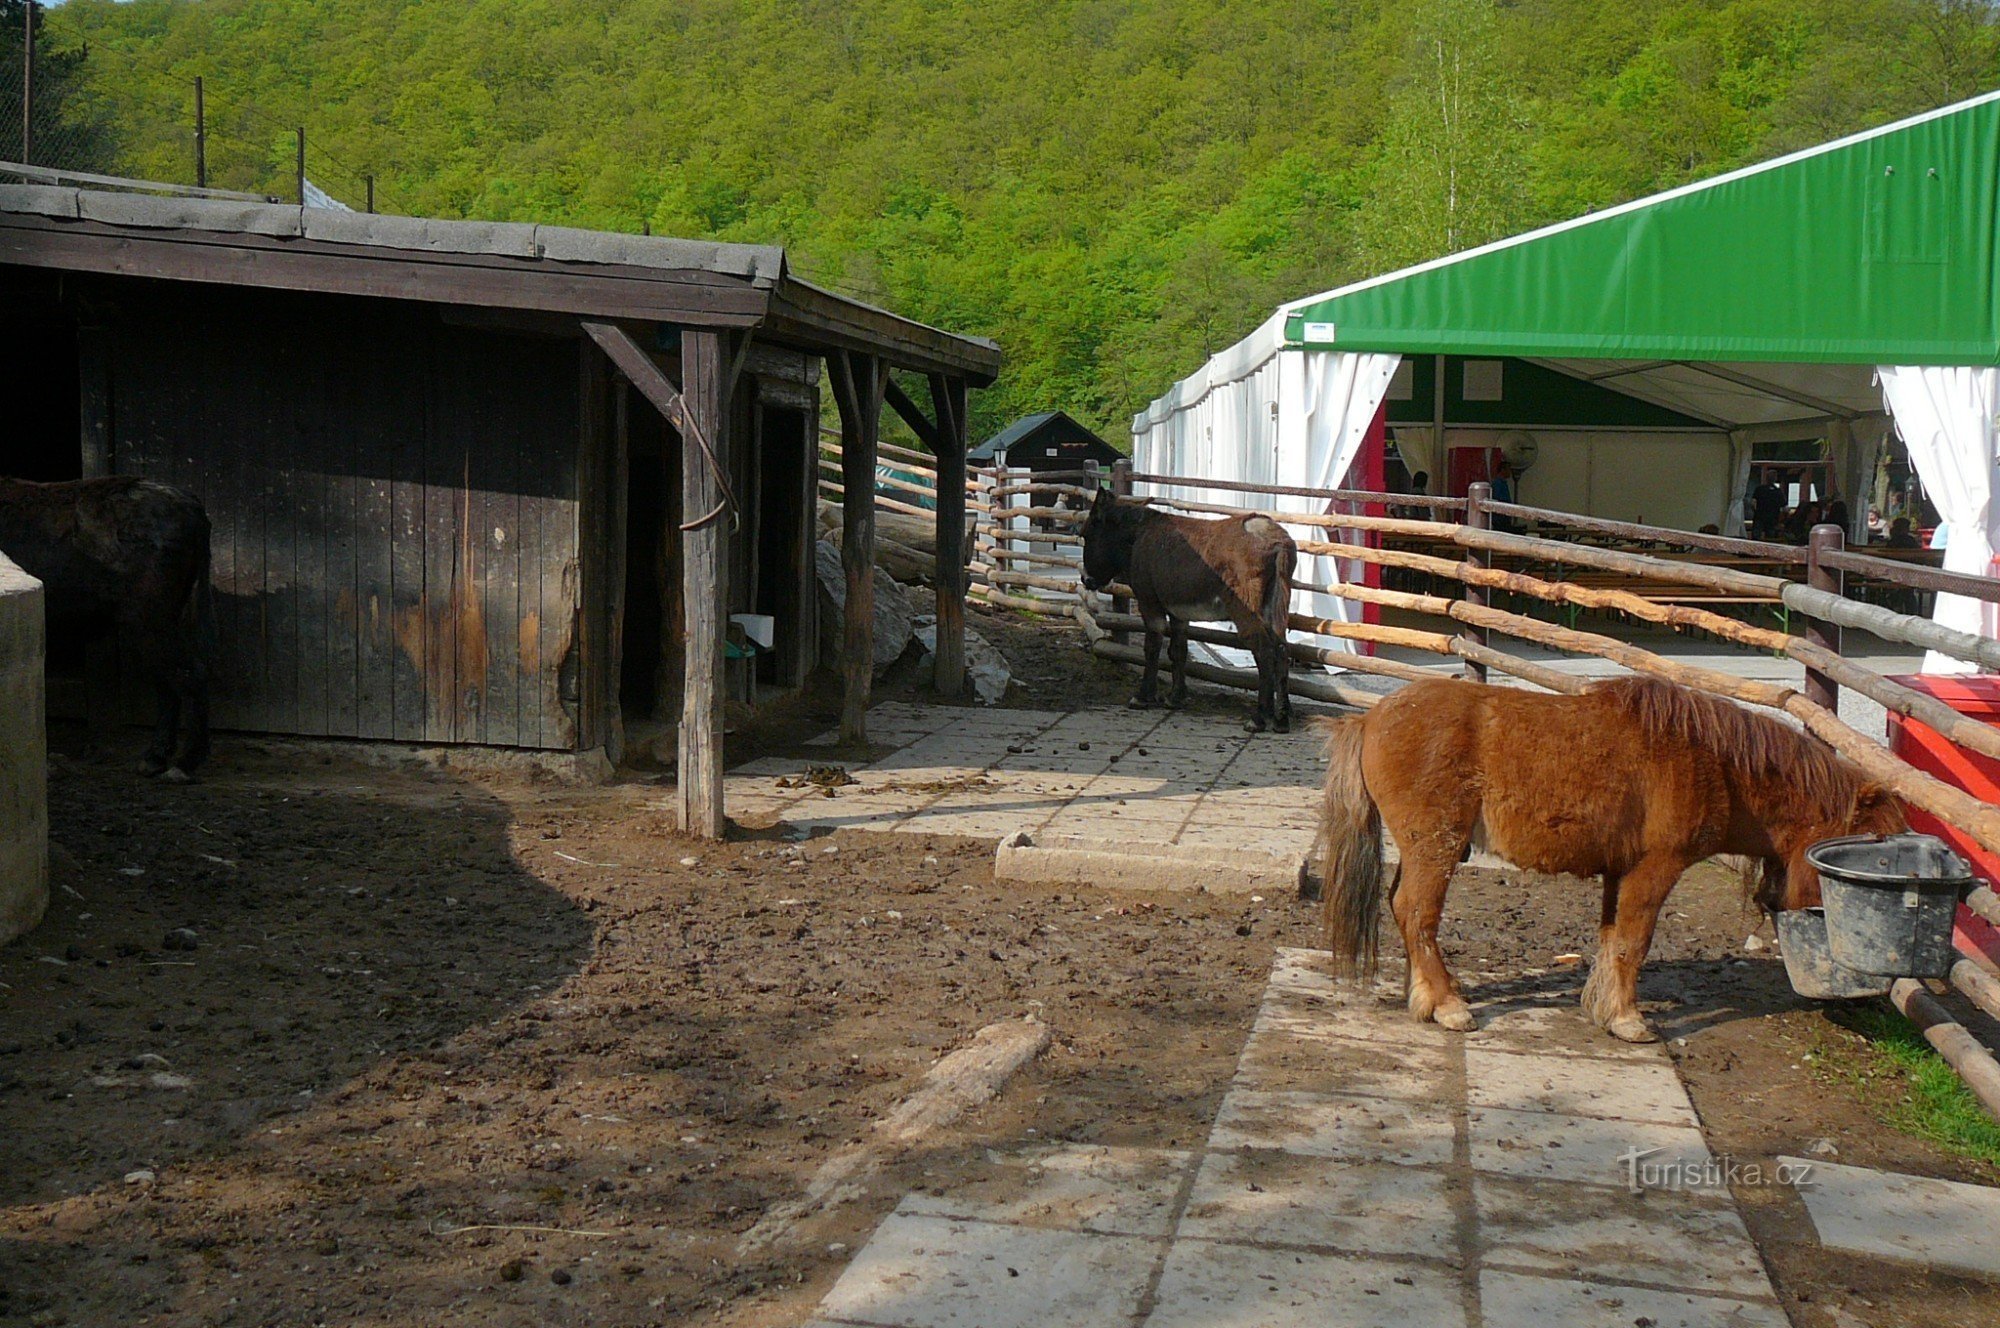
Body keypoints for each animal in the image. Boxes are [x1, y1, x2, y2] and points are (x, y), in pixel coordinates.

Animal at [1080, 488, 1296, 732]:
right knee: (1282, 650)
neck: (1138, 535)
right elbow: (1178, 650)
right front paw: (1176, 697)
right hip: (1275, 608)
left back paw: (1259, 717)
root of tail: (1273, 538)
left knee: (1264, 651)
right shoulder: (1178, 613)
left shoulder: (1149, 602)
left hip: (1245, 610)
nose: (1085, 580)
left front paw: (1143, 696)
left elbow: (1152, 647)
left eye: (1086, 535)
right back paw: (1281, 719)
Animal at [1312, 680, 1904, 1040]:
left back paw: (1425, 997)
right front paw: (1627, 1019)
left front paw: (1600, 1006)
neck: (1711, 762)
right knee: (1416, 912)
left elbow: (1611, 936)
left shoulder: (1620, 872)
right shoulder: (1656, 869)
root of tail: (1371, 718)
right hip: (1434, 847)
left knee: (1406, 911)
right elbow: (1634, 942)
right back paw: (1448, 1004)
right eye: (1871, 849)